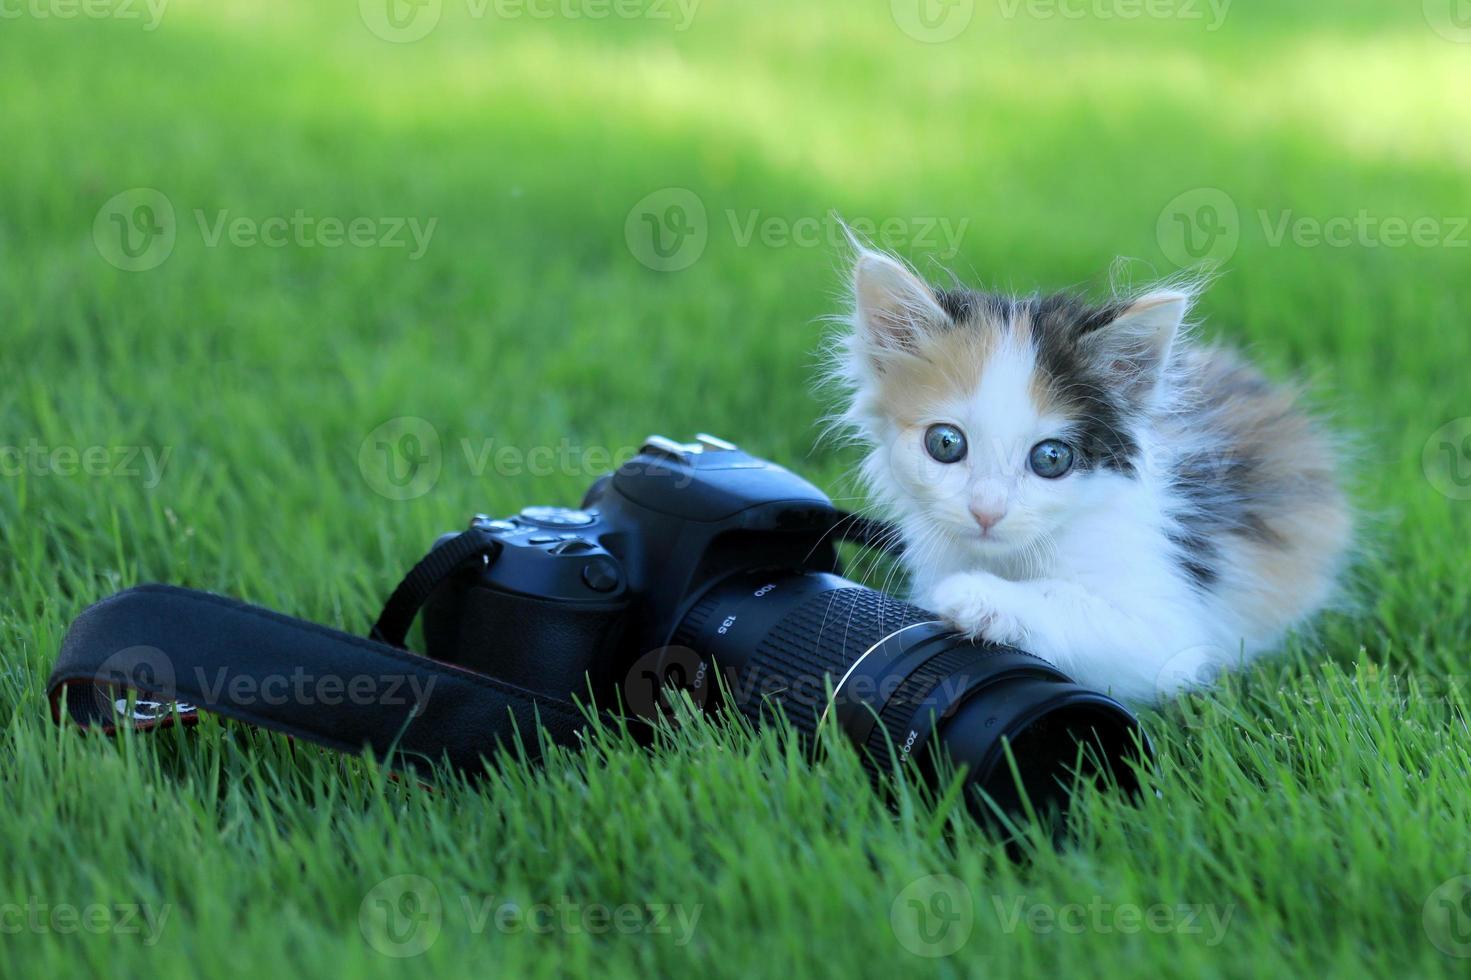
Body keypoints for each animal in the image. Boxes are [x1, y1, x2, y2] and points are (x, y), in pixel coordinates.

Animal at [835, 248, 1347, 697]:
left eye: (1051, 458)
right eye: (945, 444)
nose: (986, 512)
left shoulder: (1170, 630)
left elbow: (1076, 607)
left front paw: (979, 597)